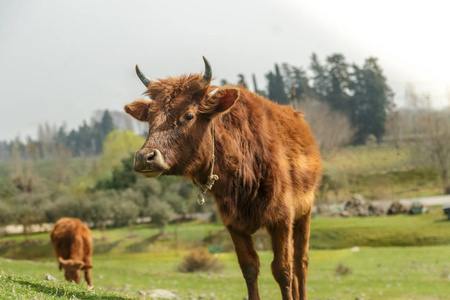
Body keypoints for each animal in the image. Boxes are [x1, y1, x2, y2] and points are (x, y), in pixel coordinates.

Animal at [125, 57, 322, 298]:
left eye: (188, 115)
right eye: (150, 118)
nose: (145, 157)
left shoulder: (282, 218)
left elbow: (283, 270)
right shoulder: (233, 223)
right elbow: (249, 268)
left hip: (305, 211)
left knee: (300, 262)